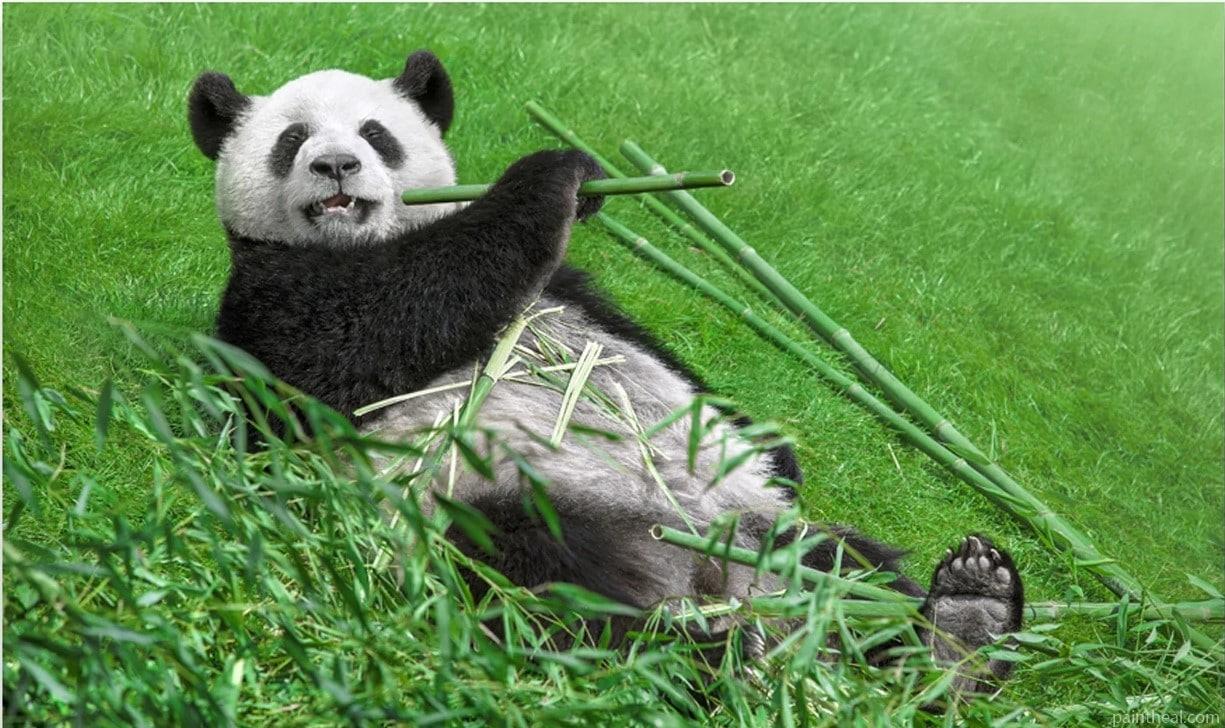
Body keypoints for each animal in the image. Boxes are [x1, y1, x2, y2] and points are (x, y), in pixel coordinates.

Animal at [188, 50, 1024, 694]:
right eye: (292, 138)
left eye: (375, 135)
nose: (335, 166)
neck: (366, 237)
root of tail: (722, 588)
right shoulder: (273, 297)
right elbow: (369, 328)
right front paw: (552, 178)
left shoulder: (577, 295)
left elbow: (682, 377)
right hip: (490, 502)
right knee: (553, 591)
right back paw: (693, 657)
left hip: (753, 526)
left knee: (850, 569)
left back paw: (961, 624)